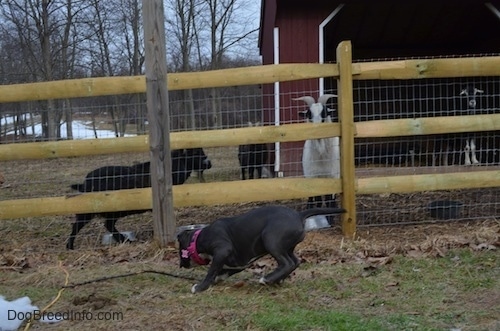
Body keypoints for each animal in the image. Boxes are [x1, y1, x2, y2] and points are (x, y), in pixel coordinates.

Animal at [66, 149, 211, 250]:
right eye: (196, 153)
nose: (209, 163)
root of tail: (85, 182)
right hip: (91, 208)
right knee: (78, 224)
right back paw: (70, 246)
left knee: (108, 224)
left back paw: (124, 240)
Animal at [178, 206, 346, 294]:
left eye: (180, 251)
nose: (181, 265)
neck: (198, 238)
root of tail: (299, 214)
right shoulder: (237, 263)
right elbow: (223, 271)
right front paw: (217, 279)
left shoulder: (222, 250)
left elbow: (211, 271)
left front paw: (200, 287)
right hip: (287, 247)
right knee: (295, 261)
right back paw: (277, 279)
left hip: (271, 240)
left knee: (287, 263)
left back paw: (267, 279)